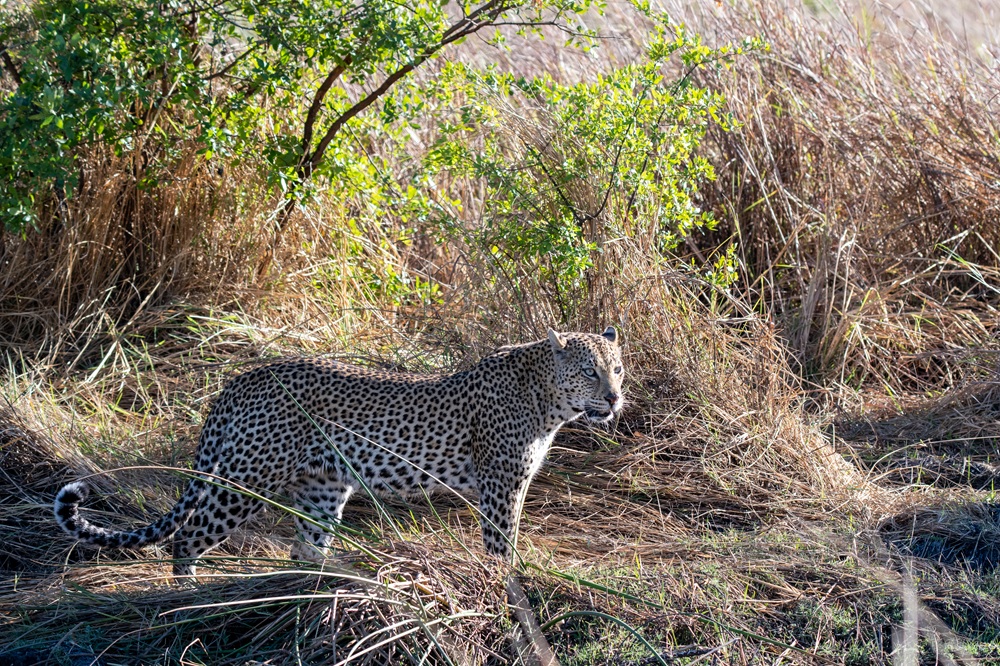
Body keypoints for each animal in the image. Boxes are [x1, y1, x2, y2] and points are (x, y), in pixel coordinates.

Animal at [54, 327, 625, 576]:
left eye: (617, 367)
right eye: (588, 370)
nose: (615, 398)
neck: (547, 398)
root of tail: (244, 377)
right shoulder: (502, 484)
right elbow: (501, 542)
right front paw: (507, 583)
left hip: (322, 487)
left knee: (305, 547)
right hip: (249, 477)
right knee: (187, 537)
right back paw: (191, 598)